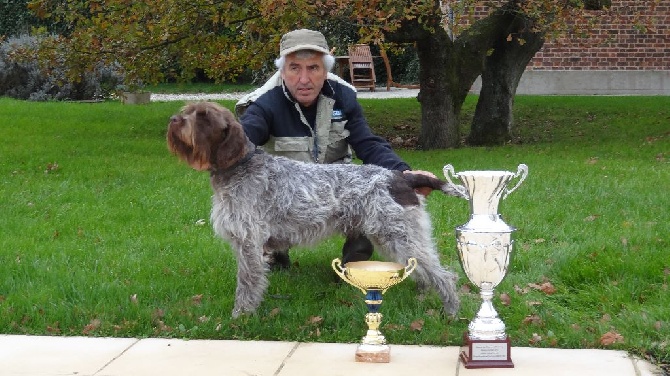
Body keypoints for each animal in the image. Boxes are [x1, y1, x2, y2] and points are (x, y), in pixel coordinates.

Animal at [168, 102, 468, 318]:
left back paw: (451, 313)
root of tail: (400, 178)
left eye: (203, 116)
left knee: (445, 275)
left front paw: (240, 316)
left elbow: (247, 283)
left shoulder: (249, 242)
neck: (239, 167)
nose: (173, 120)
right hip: (396, 238)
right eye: (187, 111)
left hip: (401, 235)